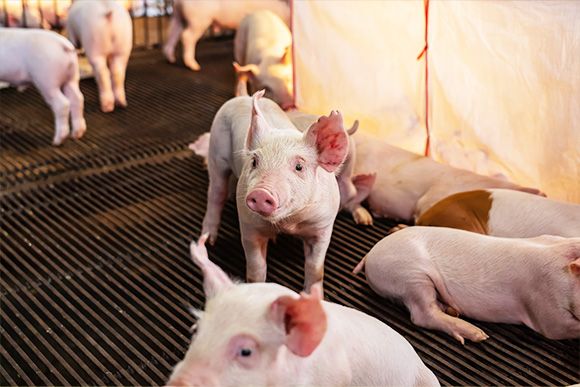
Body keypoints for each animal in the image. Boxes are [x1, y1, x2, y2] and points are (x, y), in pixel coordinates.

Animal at [202, 91, 348, 292]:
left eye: (299, 166)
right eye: (255, 161)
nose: (261, 192)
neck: (289, 223)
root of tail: (243, 96)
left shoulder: (323, 226)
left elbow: (315, 268)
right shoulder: (249, 224)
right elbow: (256, 268)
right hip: (216, 150)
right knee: (216, 193)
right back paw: (209, 240)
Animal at [354, 226, 580, 344]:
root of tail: (370, 254)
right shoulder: (544, 304)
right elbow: (556, 329)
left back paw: (453, 312)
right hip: (411, 274)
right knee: (422, 314)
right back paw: (476, 334)